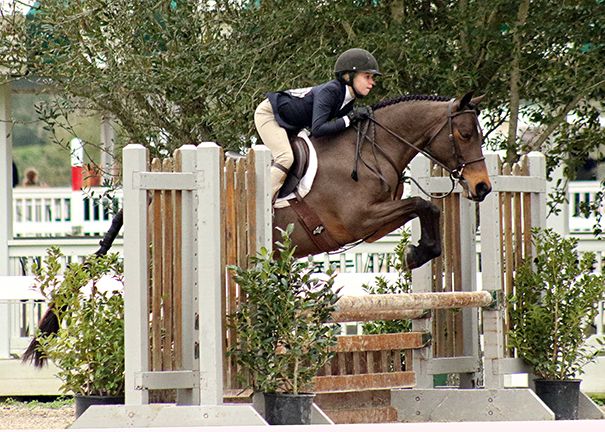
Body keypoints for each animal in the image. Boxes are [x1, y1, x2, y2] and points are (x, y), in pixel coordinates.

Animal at [23, 91, 491, 367]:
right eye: (466, 134)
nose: (482, 188)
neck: (374, 150)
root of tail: (155, 189)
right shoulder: (357, 219)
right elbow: (423, 203)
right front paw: (418, 251)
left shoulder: (374, 224)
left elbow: (427, 206)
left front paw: (420, 251)